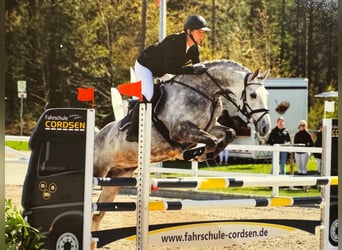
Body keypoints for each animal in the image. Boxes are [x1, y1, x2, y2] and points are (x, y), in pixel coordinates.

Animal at [92, 59, 272, 235]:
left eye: (267, 94)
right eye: (253, 95)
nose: (265, 128)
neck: (205, 91)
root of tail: (96, 135)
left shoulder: (207, 127)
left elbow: (229, 133)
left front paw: (202, 153)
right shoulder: (180, 130)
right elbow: (212, 141)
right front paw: (198, 154)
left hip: (118, 177)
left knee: (97, 214)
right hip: (98, 172)